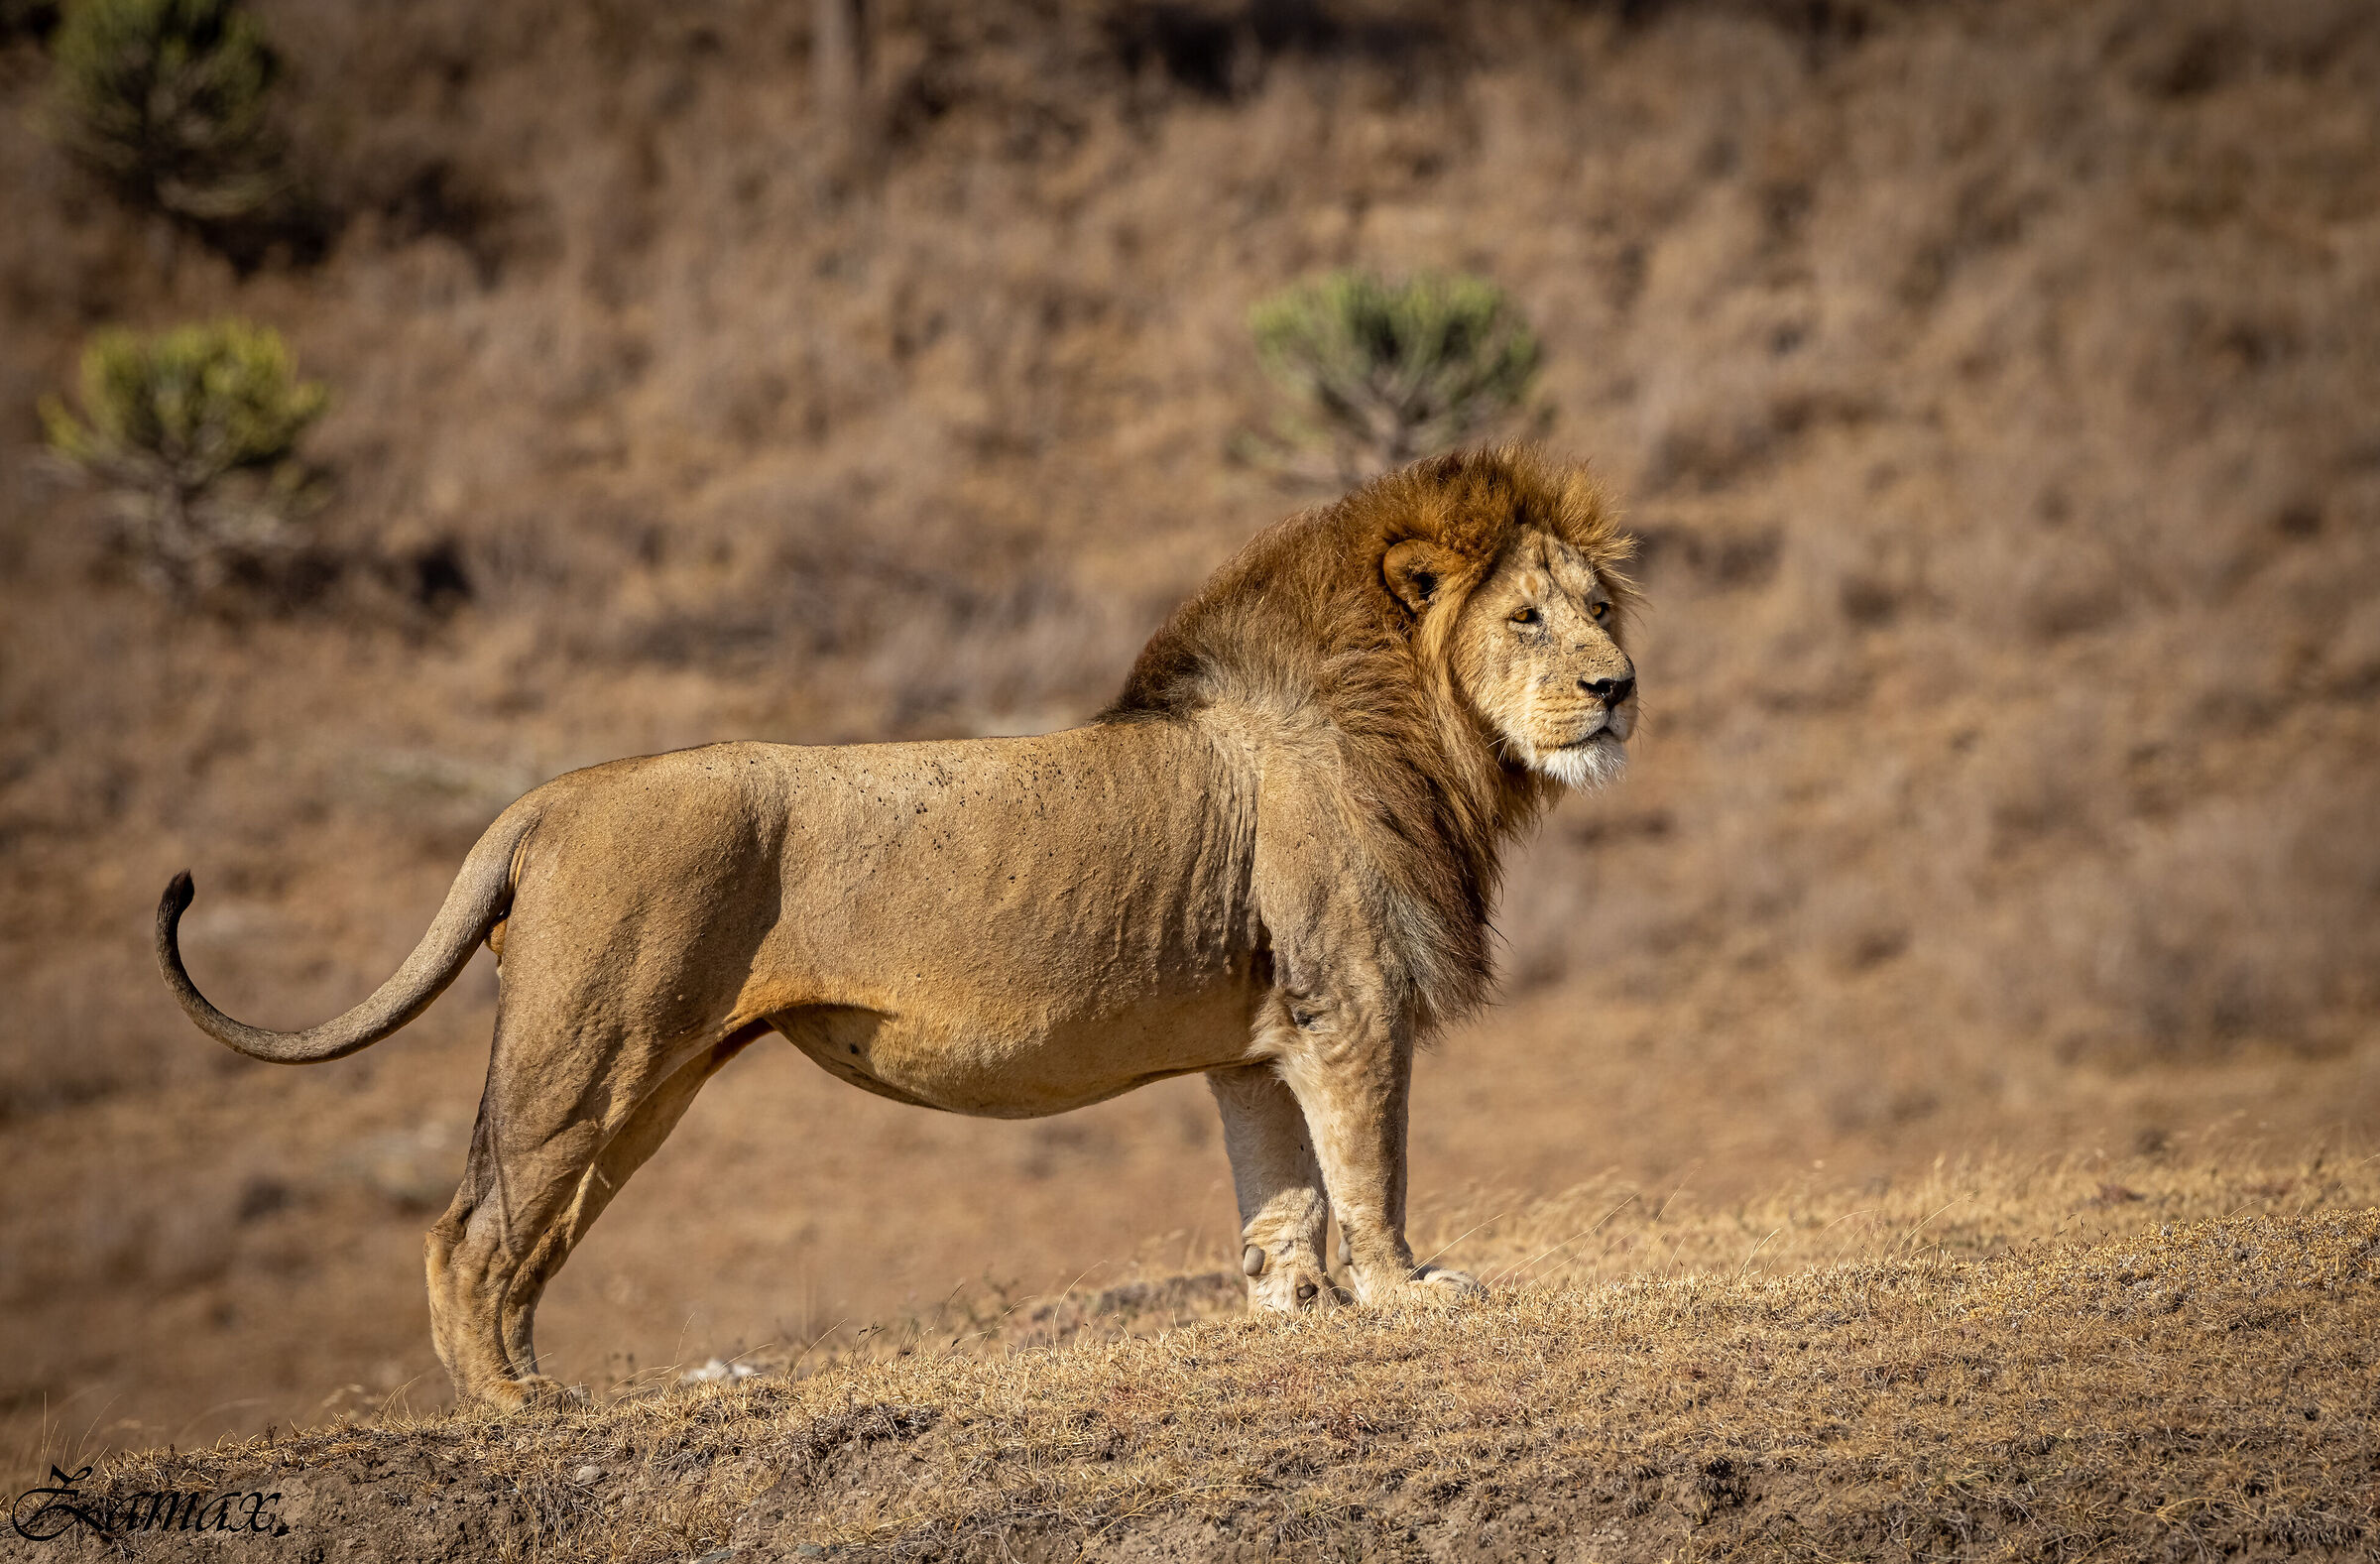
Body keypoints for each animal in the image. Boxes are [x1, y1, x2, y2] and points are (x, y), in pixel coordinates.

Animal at [156, 445, 1640, 1409]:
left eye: (1600, 608)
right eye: (1526, 618)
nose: (1618, 687)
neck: (1429, 734)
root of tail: (547, 797)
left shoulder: (1258, 1034)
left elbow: (1279, 1194)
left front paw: (1297, 1317)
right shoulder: (1354, 998)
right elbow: (1370, 1170)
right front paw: (1409, 1293)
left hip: (642, 1083)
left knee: (526, 1238)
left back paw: (539, 1386)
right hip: (587, 1052)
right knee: (466, 1230)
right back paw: (511, 1418)